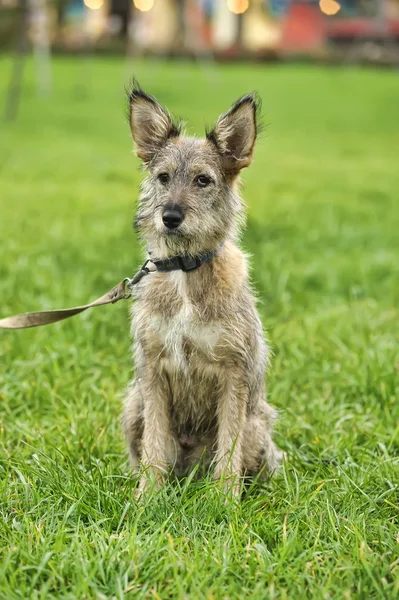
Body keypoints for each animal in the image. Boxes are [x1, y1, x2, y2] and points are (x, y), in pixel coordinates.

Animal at [123, 83, 282, 496]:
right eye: (163, 177)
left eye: (203, 180)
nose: (170, 217)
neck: (185, 271)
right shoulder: (153, 372)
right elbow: (154, 447)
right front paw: (146, 499)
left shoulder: (233, 374)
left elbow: (229, 449)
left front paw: (225, 502)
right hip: (132, 404)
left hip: (258, 422)